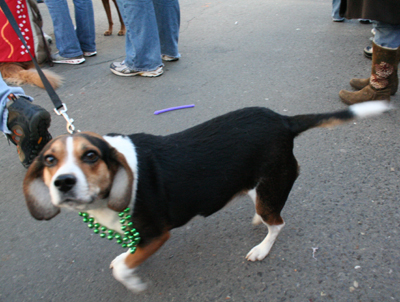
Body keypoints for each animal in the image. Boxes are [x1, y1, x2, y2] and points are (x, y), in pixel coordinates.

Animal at [22, 102, 390, 292]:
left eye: (91, 156)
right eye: (50, 160)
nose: (64, 183)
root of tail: (284, 120)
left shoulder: (157, 234)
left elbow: (125, 267)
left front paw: (133, 281)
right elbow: (129, 253)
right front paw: (125, 258)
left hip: (271, 185)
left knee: (278, 223)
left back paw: (262, 247)